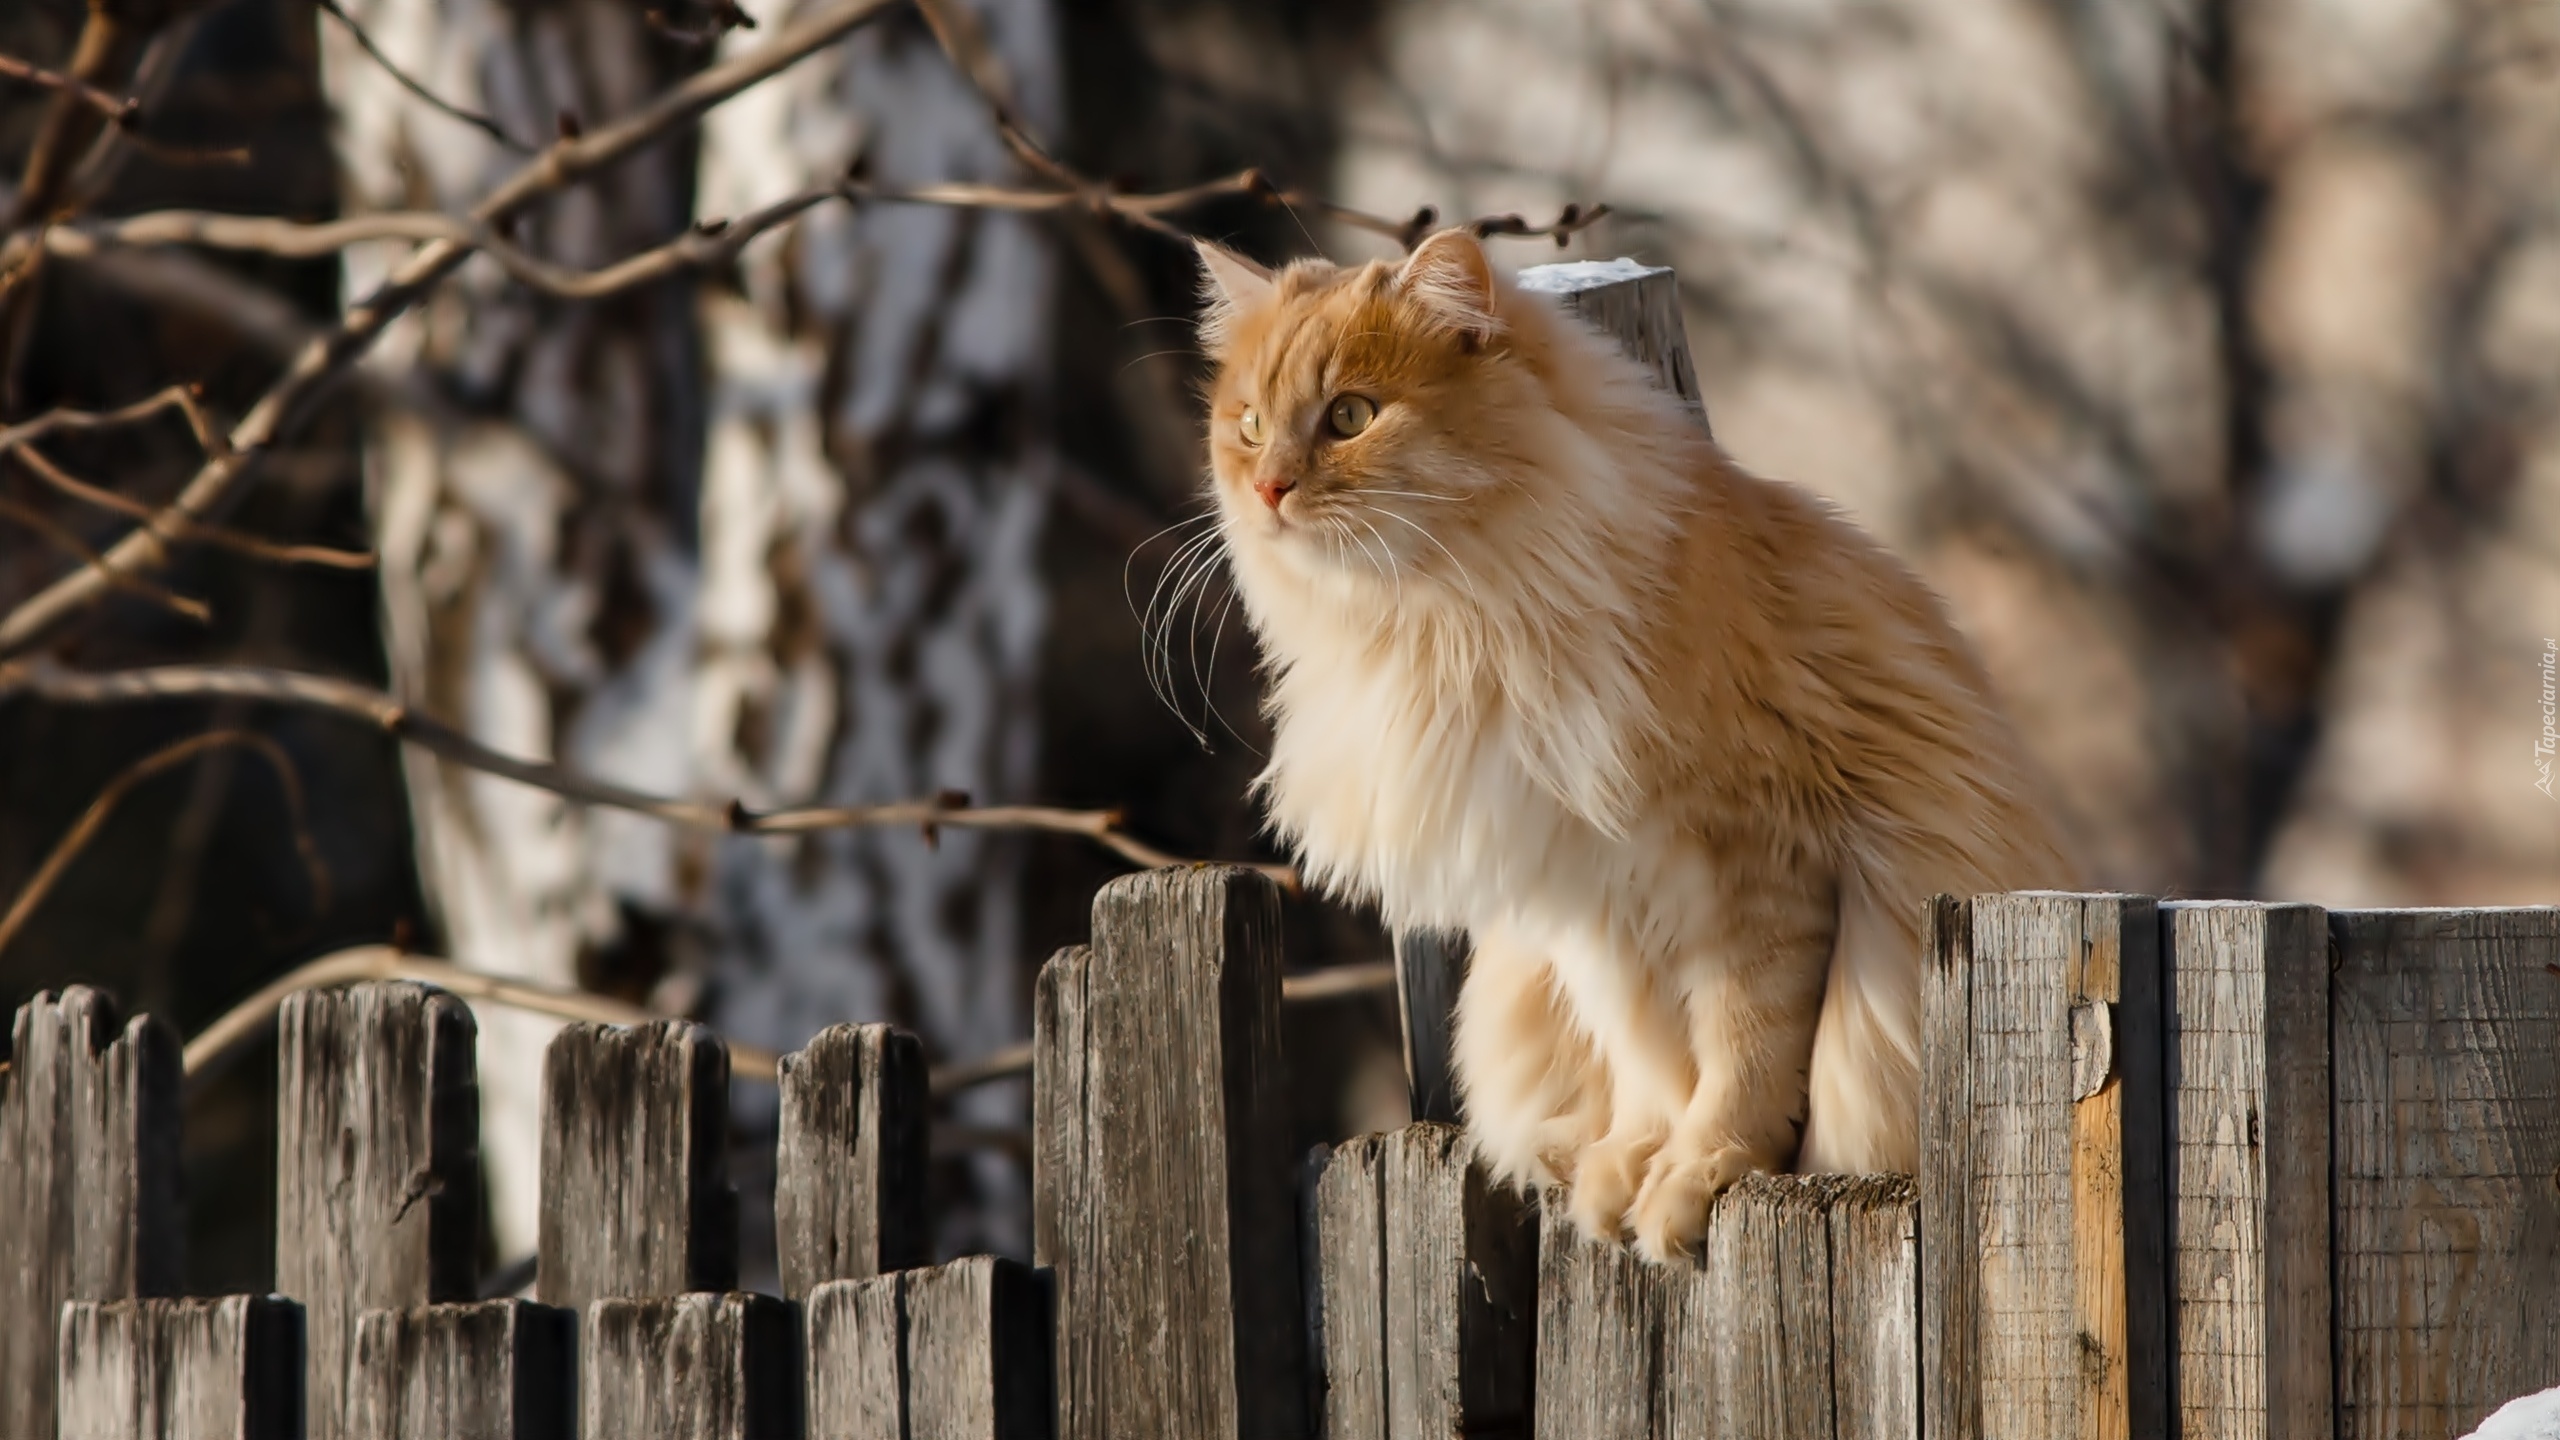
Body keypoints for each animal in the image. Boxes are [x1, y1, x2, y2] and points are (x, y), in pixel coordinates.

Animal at [1192, 224, 2078, 1255]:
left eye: (1349, 417)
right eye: (1251, 425)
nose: (1268, 488)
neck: (1445, 624)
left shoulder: (1759, 864)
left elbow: (1743, 1051)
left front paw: (1701, 1174)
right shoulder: (1580, 893)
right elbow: (1653, 1057)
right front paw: (1635, 1165)